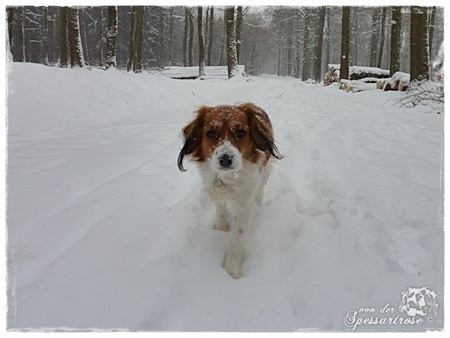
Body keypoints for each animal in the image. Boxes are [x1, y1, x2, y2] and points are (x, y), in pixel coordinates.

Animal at [178, 104, 282, 278]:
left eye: (241, 132)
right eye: (211, 133)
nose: (226, 159)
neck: (228, 179)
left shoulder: (246, 204)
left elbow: (238, 238)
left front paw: (231, 271)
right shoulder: (215, 190)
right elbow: (220, 211)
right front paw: (222, 228)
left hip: (264, 175)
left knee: (260, 193)